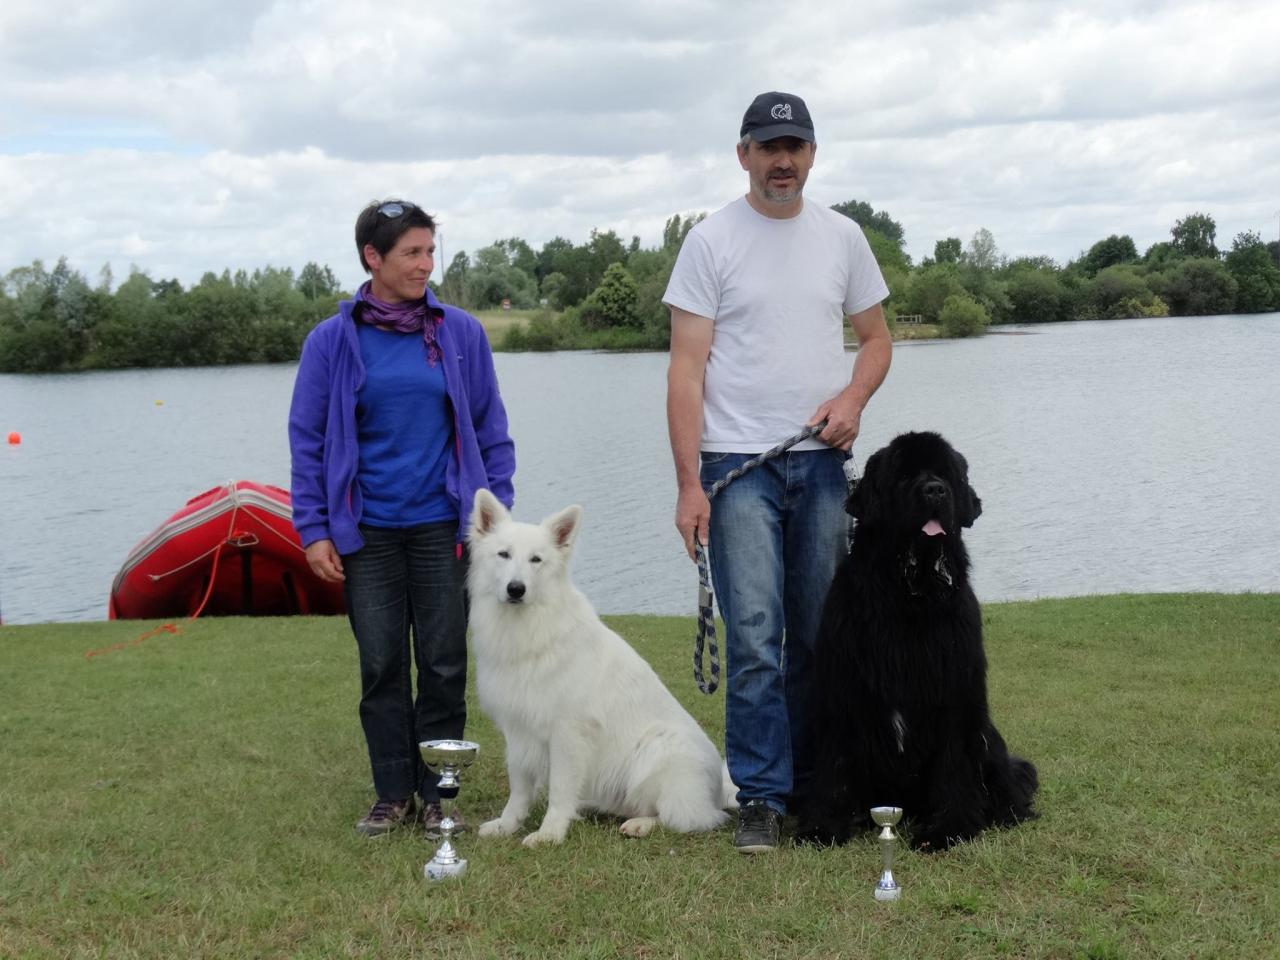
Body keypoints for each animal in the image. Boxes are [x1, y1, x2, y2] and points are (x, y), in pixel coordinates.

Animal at [471, 491, 737, 844]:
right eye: (503, 554)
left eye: (536, 560)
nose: (516, 589)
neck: (530, 628)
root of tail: (718, 790)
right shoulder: (518, 730)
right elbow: (520, 787)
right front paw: (507, 824)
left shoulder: (567, 732)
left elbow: (559, 789)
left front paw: (550, 833)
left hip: (659, 747)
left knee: (686, 817)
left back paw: (642, 824)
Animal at [798, 432, 1039, 855]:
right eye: (904, 475)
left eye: (945, 473)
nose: (934, 490)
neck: (908, 596)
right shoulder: (843, 690)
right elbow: (833, 762)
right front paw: (822, 826)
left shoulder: (953, 694)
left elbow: (952, 764)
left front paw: (948, 828)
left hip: (987, 736)